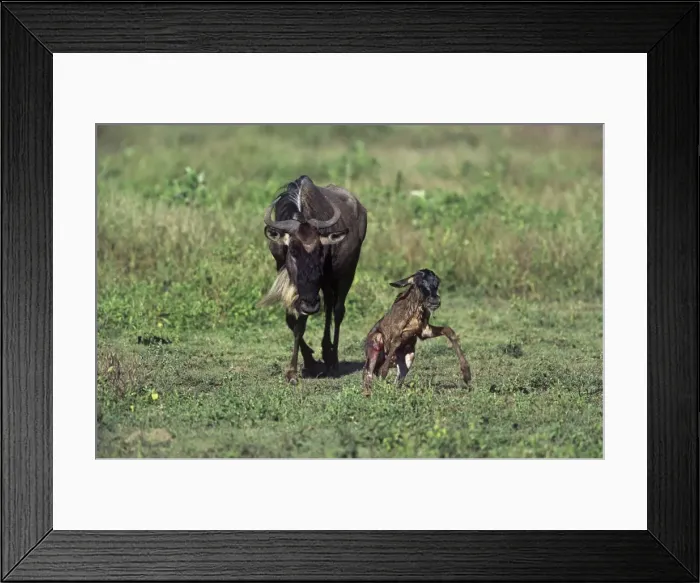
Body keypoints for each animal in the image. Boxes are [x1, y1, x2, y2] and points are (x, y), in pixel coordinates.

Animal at [258, 175, 368, 385]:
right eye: (293, 251)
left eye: (320, 251)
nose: (311, 305)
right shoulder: (290, 277)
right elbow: (291, 320)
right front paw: (309, 359)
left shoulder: (314, 288)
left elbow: (300, 324)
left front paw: (293, 371)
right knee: (329, 305)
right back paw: (325, 353)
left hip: (346, 273)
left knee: (338, 311)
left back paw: (333, 360)